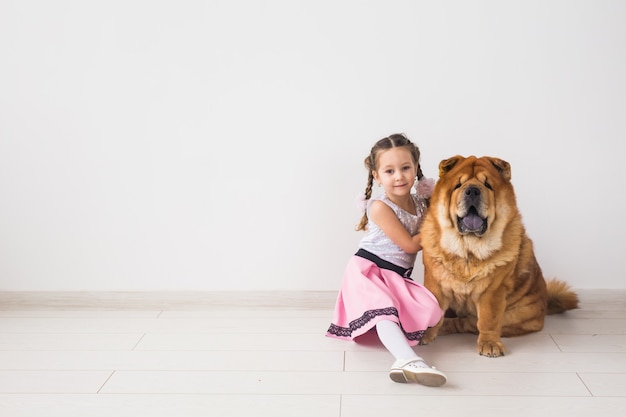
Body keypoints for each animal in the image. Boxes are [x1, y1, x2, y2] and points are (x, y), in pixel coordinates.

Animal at [416, 154, 576, 356]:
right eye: (458, 185)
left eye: (488, 185)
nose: (472, 191)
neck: (468, 250)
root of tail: (545, 303)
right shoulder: (435, 283)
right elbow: (432, 312)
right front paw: (423, 335)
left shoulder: (492, 291)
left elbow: (488, 320)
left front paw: (490, 344)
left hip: (514, 315)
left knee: (467, 323)